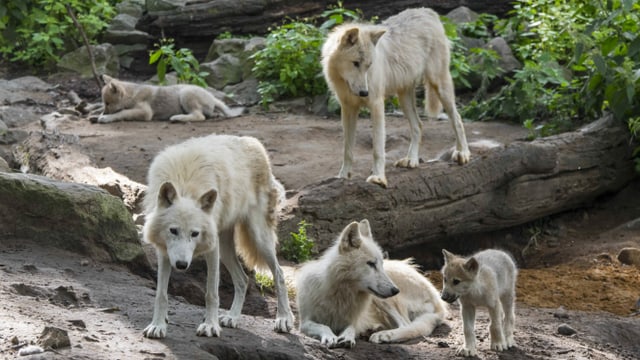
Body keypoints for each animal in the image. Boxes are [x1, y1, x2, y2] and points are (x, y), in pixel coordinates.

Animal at [96, 74, 244, 123]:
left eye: (107, 103)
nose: (104, 112)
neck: (132, 95)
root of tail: (212, 97)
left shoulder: (145, 112)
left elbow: (122, 112)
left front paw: (106, 118)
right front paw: (98, 116)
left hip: (185, 93)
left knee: (199, 116)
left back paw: (178, 118)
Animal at [141, 132, 294, 338]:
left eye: (195, 234)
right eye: (173, 231)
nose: (181, 265)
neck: (185, 185)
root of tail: (255, 143)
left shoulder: (211, 249)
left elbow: (211, 293)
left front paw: (210, 326)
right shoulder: (165, 250)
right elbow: (161, 294)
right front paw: (158, 325)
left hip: (258, 238)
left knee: (279, 273)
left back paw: (284, 319)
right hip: (226, 248)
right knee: (243, 280)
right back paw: (232, 317)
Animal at [298, 218, 448, 348]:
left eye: (381, 264)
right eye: (371, 264)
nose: (396, 290)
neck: (341, 292)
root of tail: (438, 300)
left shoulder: (355, 320)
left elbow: (351, 327)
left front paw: (347, 337)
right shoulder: (304, 322)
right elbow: (323, 326)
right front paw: (330, 336)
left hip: (383, 300)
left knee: (406, 325)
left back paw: (383, 335)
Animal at [324, 7, 470, 188]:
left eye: (369, 65)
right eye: (355, 63)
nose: (364, 93)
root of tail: (427, 12)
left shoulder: (376, 104)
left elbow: (378, 149)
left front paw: (378, 178)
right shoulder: (348, 108)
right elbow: (347, 150)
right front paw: (343, 176)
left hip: (439, 86)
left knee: (457, 118)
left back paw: (463, 153)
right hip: (404, 98)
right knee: (418, 125)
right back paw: (411, 160)